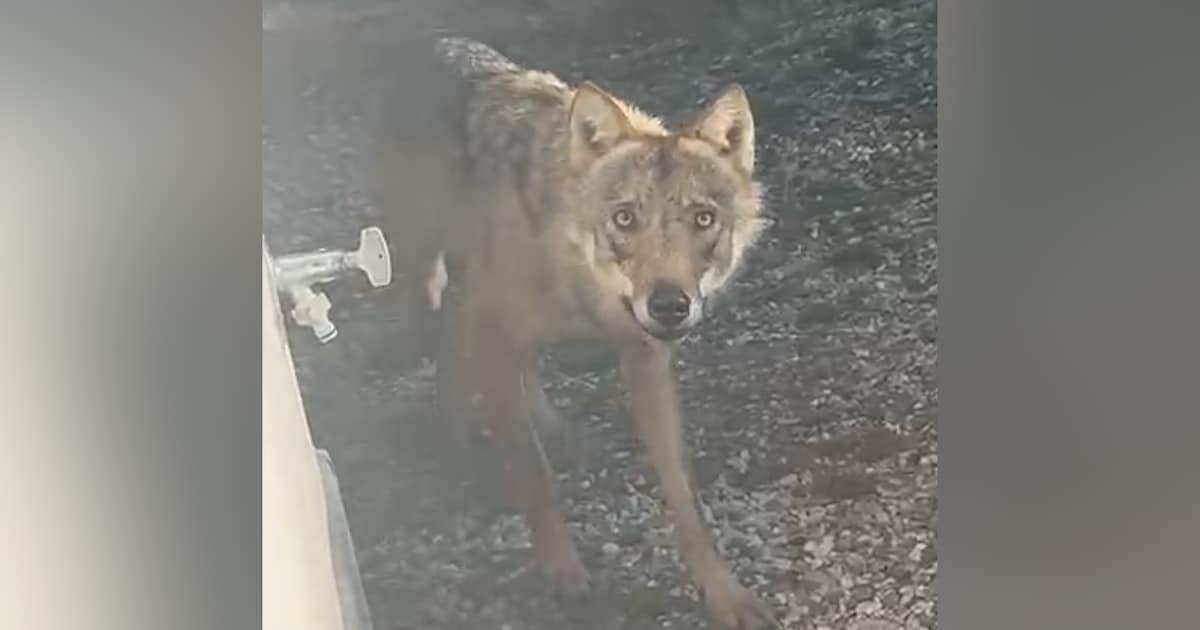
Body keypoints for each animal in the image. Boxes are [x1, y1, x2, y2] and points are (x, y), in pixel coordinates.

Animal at [370, 36, 774, 629]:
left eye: (703, 219)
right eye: (624, 219)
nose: (670, 306)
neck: (582, 287)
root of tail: (428, 41)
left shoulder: (645, 357)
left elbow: (683, 495)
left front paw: (724, 592)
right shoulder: (492, 332)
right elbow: (534, 476)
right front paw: (561, 571)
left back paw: (545, 423)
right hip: (427, 273)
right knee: (443, 345)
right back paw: (459, 441)